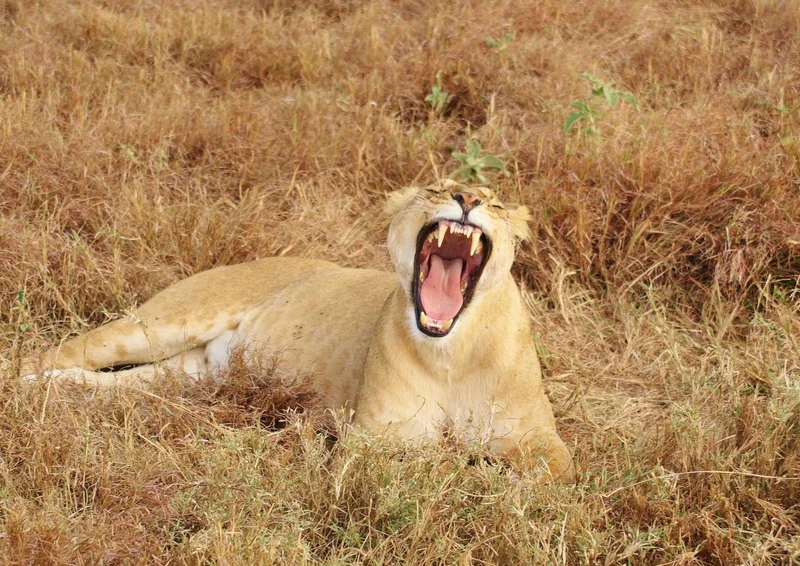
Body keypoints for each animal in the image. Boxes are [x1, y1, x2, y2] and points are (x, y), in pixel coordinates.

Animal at [22, 180, 575, 482]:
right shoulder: (370, 440)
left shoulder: (541, 439)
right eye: (436, 188)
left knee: (108, 385)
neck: (451, 351)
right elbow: (429, 461)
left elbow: (546, 469)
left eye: (496, 203)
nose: (466, 198)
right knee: (50, 354)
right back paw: (23, 390)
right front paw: (468, 466)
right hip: (159, 324)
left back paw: (54, 392)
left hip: (186, 379)